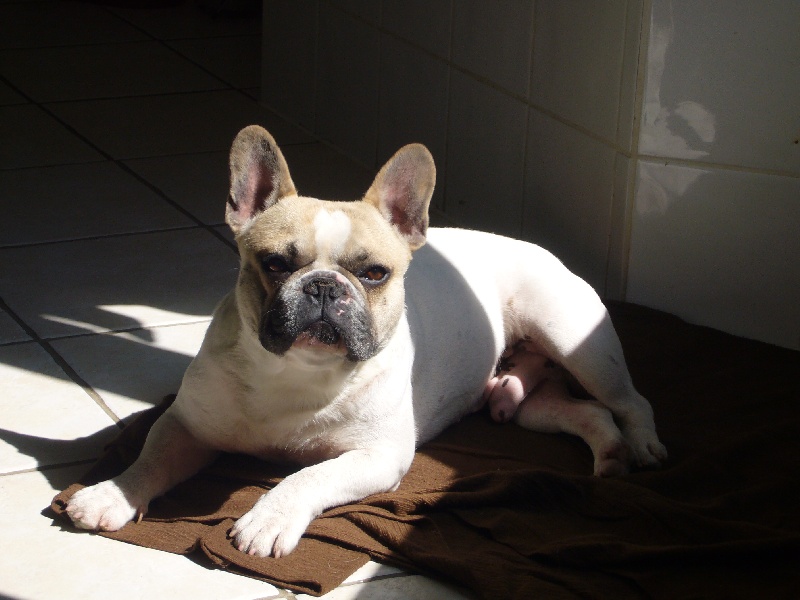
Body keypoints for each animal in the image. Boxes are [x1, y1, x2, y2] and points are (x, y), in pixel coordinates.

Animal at [66, 125, 667, 558]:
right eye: (275, 264)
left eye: (375, 274)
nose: (324, 286)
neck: (297, 373)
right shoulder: (188, 424)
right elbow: (151, 455)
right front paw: (112, 494)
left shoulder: (378, 456)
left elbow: (311, 473)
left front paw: (269, 518)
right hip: (527, 406)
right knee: (582, 413)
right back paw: (610, 454)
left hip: (575, 341)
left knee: (630, 401)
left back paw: (643, 446)